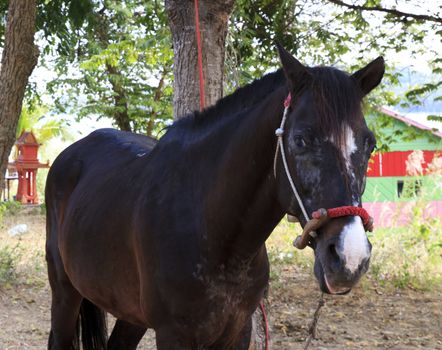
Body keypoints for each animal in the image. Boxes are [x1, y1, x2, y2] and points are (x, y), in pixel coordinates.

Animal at [44, 45, 384, 348]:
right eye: (300, 139)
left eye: (370, 144)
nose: (350, 258)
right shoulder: (173, 334)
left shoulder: (238, 331)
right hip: (65, 293)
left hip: (130, 313)